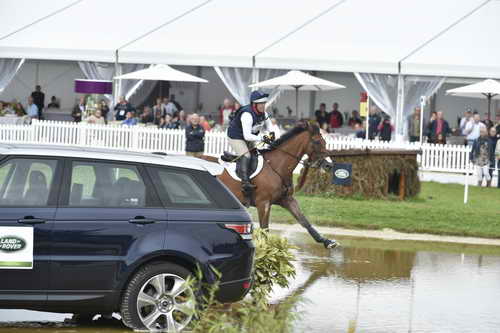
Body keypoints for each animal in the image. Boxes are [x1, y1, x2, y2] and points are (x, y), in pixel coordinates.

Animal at [201, 120, 338, 248]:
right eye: (317, 142)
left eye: (325, 142)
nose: (329, 165)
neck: (277, 167)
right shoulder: (263, 204)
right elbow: (264, 229)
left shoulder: (287, 200)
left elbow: (304, 221)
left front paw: (326, 241)